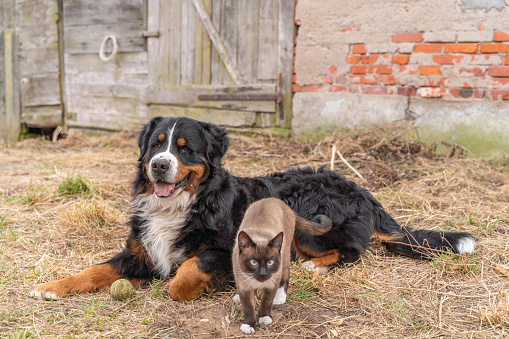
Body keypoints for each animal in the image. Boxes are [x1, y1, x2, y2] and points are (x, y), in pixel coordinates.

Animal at [30, 115, 476, 302]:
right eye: (156, 144)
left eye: (184, 148)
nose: (159, 165)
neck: (185, 204)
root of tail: (359, 188)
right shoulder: (139, 251)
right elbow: (95, 270)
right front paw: (52, 286)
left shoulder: (224, 251)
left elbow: (182, 275)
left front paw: (193, 287)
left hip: (308, 214)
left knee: (352, 251)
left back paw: (313, 267)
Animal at [231, 198, 334, 334]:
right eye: (253, 262)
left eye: (270, 262)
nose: (263, 274)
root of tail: (279, 201)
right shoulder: (244, 286)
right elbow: (248, 307)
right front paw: (249, 325)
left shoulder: (272, 283)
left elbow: (266, 302)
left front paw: (264, 318)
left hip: (284, 255)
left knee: (285, 276)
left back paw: (280, 298)